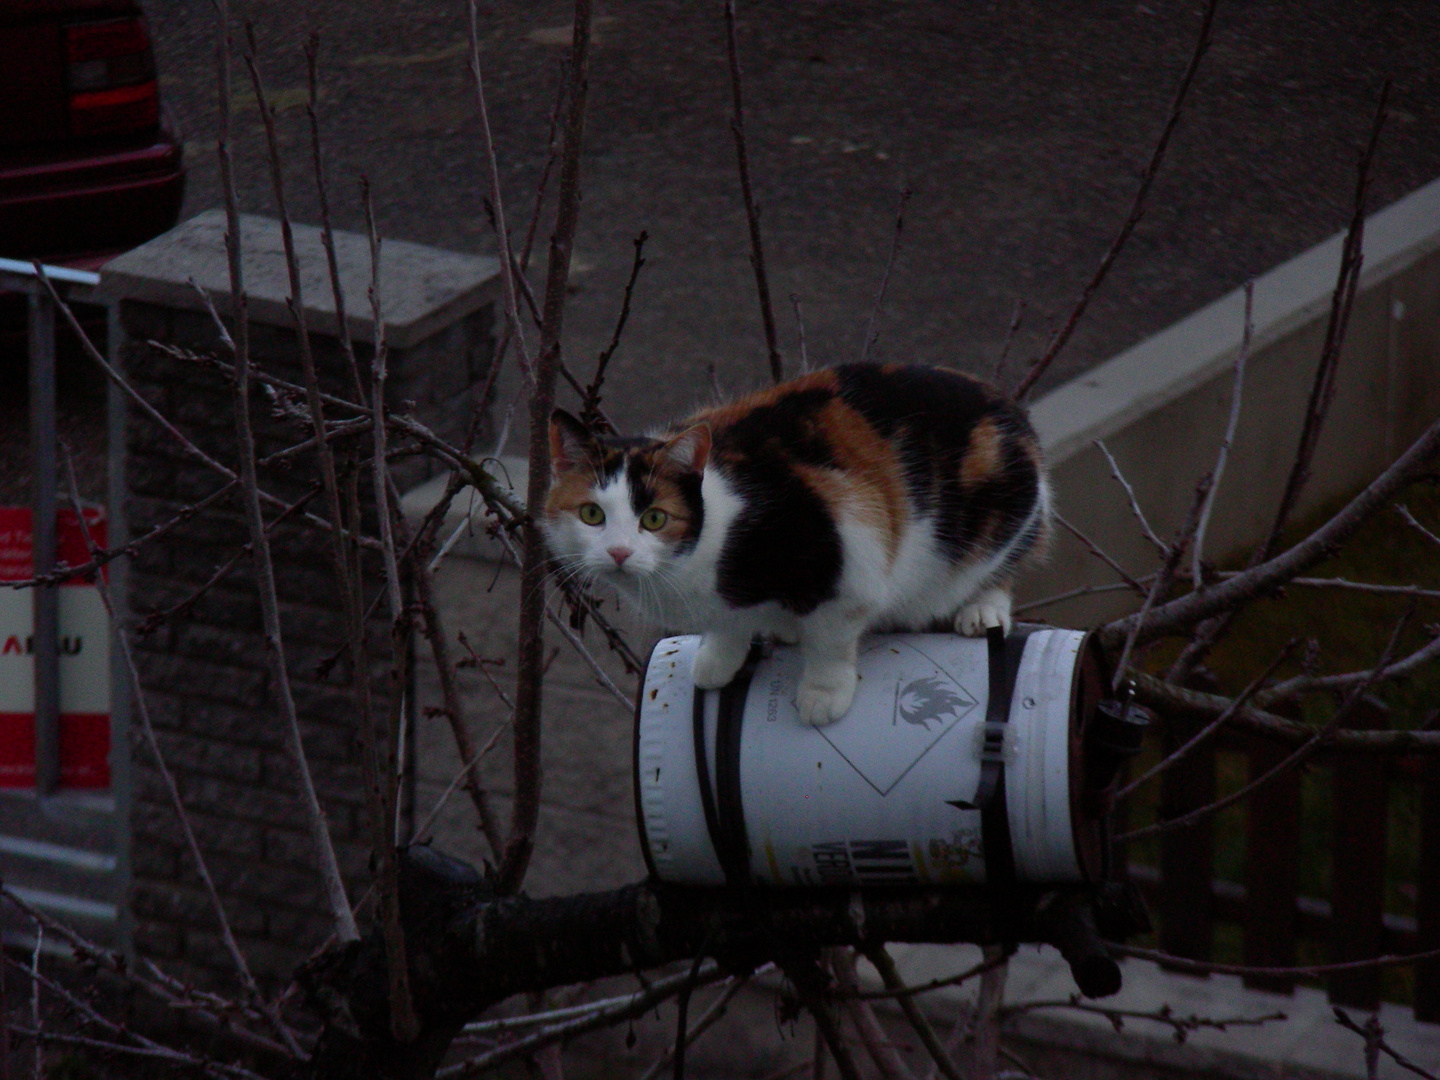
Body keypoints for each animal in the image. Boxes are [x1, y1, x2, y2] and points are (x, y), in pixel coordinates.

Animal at [541, 364, 1048, 728]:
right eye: (591, 514)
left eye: (654, 519)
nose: (619, 552)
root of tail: (1011, 407)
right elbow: (728, 628)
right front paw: (718, 659)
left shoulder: (851, 556)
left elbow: (832, 638)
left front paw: (823, 695)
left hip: (1003, 513)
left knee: (1006, 560)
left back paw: (981, 610)